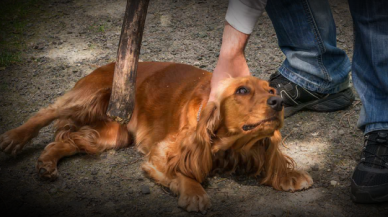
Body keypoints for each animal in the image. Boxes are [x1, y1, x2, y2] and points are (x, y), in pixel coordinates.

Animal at [0, 62, 312, 213]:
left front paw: (289, 176)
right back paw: (14, 138)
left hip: (113, 134)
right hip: (87, 95)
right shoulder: (161, 155)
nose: (278, 102)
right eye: (242, 91)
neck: (228, 144)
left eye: (271, 91)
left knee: (66, 141)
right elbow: (184, 172)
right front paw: (195, 194)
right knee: (47, 111)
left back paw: (46, 164)